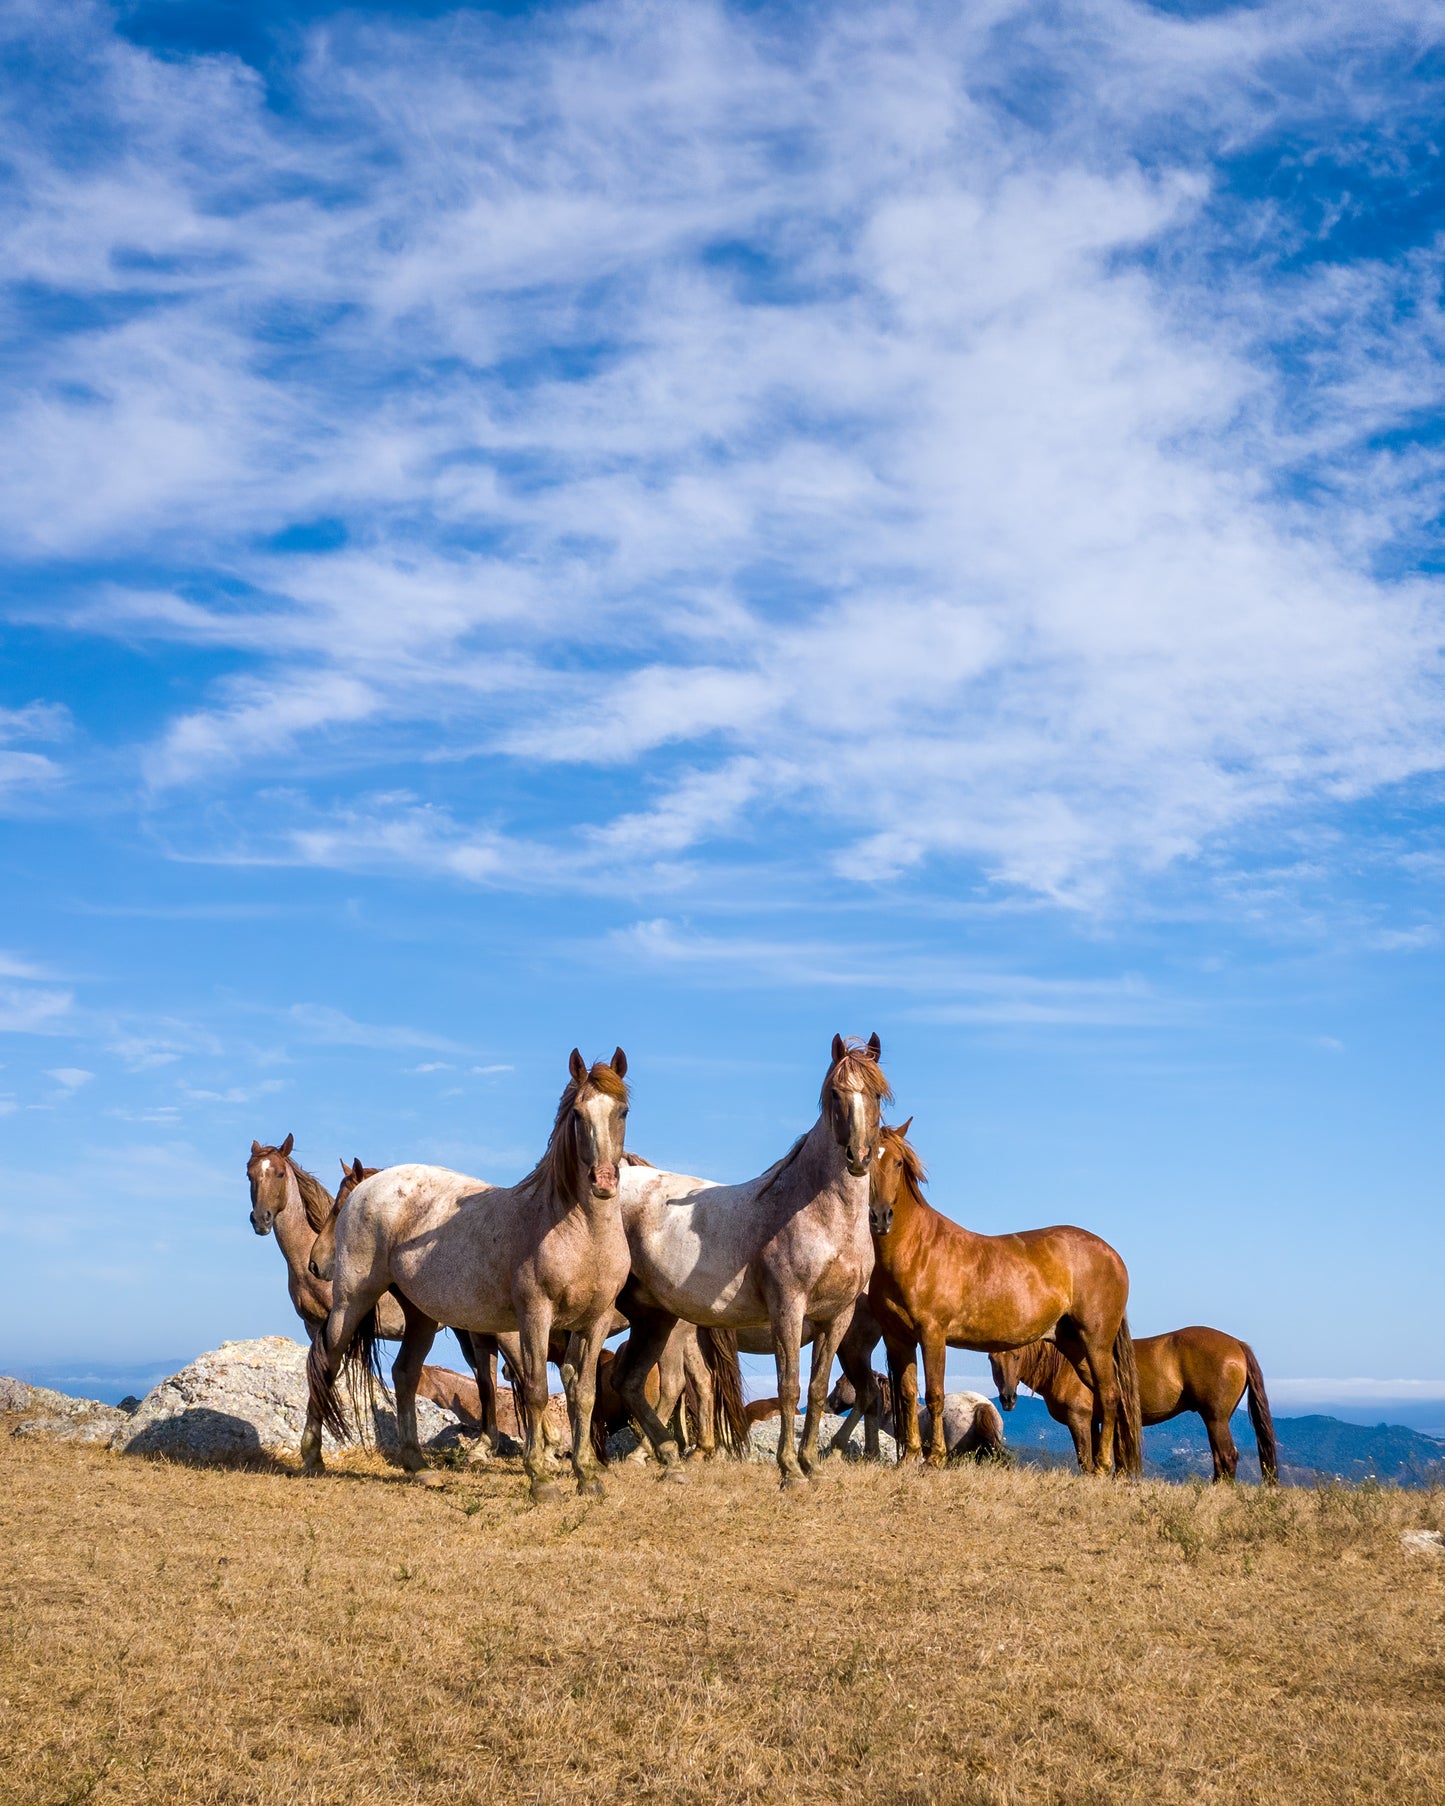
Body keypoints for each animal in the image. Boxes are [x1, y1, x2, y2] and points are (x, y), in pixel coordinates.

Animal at [307, 1054, 628, 1502]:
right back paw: (312, 1457)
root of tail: (368, 1190)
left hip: (422, 1316)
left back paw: (418, 1467)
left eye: (622, 1111)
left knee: (405, 1374)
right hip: (352, 1301)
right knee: (328, 1360)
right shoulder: (533, 1318)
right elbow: (534, 1390)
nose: (603, 1181)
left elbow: (583, 1395)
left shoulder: (593, 1323)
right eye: (578, 1115)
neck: (579, 1233)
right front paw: (541, 1478)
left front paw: (587, 1475)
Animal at [614, 1040, 885, 1488]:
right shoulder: (788, 1309)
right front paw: (790, 1469)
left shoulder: (836, 1318)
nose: (859, 1157)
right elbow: (789, 1387)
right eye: (835, 1093)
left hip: (654, 1318)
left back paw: (667, 1459)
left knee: (631, 1383)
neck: (823, 1217)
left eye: (878, 1094)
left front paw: (812, 1464)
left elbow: (815, 1388)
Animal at [863, 1119, 1148, 1473]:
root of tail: (1114, 1256)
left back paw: (1101, 1467)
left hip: (1096, 1341)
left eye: (898, 1163)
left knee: (1109, 1397)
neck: (915, 1250)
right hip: (1075, 1345)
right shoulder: (897, 1337)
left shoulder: (932, 1334)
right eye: (866, 1159)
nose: (881, 1217)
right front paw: (910, 1458)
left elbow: (934, 1394)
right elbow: (907, 1394)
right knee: (1106, 1398)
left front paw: (934, 1458)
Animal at [989, 1329, 1278, 1480]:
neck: (1065, 1365)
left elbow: (1085, 1460)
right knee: (1220, 1457)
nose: (1008, 1398)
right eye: (992, 1359)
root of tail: (1237, 1345)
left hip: (1216, 1418)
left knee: (1227, 1456)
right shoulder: (1096, 1421)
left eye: (1016, 1356)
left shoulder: (1079, 1419)